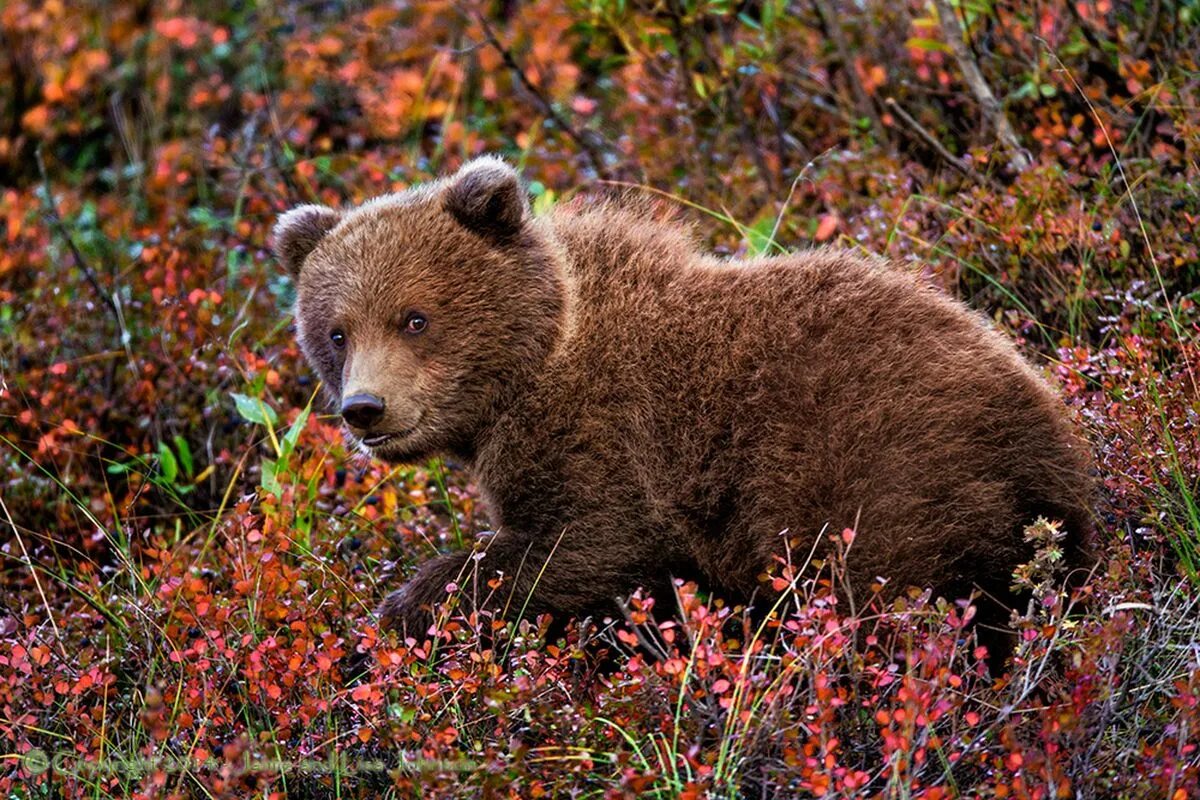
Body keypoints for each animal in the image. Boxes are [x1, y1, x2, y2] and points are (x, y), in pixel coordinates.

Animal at [274, 155, 1099, 642]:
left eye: (415, 317)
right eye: (336, 331)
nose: (366, 409)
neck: (534, 365)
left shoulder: (609, 441)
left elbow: (576, 549)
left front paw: (404, 608)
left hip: (893, 469)